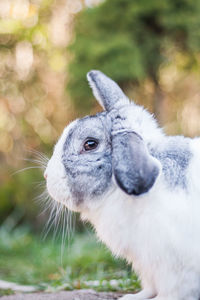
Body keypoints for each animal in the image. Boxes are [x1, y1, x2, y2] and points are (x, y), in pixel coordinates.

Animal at [44, 71, 200, 300]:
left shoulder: (175, 268)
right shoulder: (148, 265)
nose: (46, 175)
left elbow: (173, 291)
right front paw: (133, 297)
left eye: (90, 144)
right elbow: (150, 286)